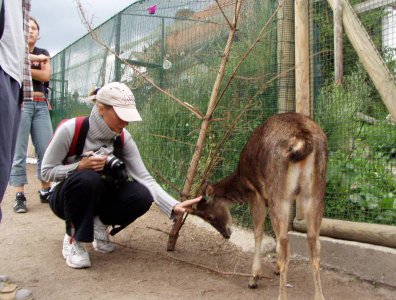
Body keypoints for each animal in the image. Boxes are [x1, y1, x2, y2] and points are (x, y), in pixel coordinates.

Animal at [190, 112, 326, 300]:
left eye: (208, 216)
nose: (226, 234)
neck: (241, 179)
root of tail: (304, 141)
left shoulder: (256, 193)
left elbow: (258, 231)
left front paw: (254, 277)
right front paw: (276, 269)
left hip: (278, 192)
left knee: (284, 242)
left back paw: (279, 295)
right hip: (315, 192)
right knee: (314, 241)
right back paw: (319, 295)